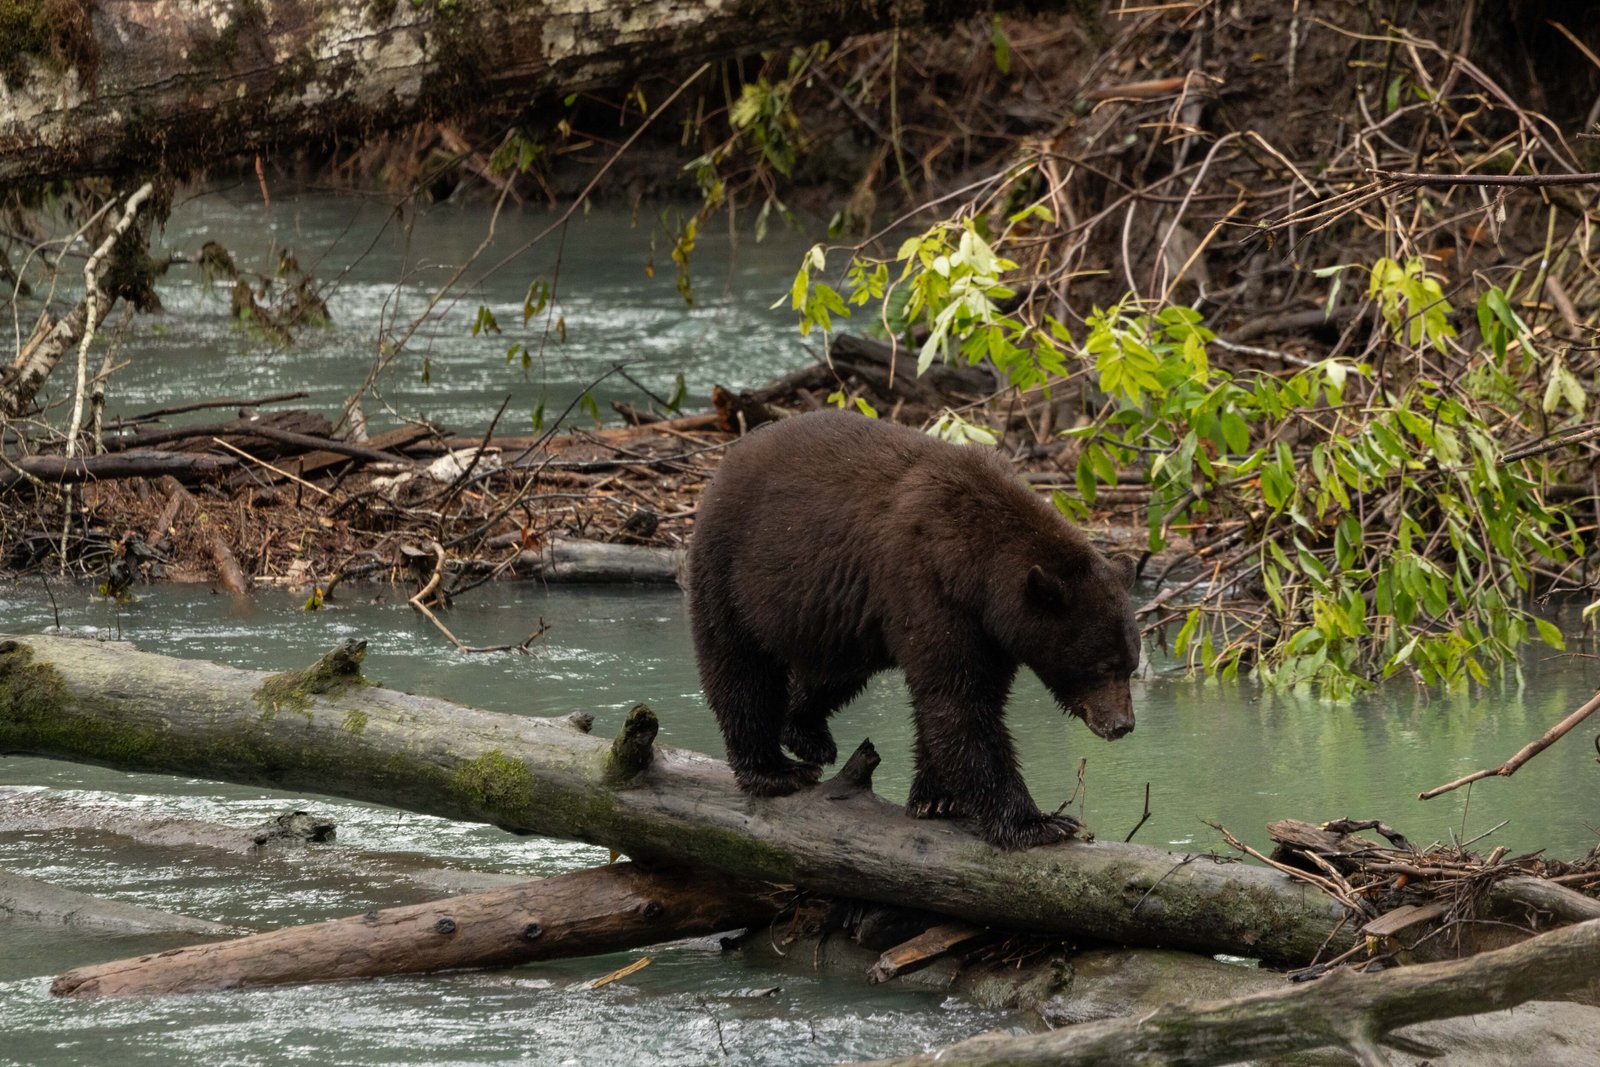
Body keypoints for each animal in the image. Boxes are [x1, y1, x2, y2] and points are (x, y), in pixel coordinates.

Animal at [684, 409, 1139, 851]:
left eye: (1131, 666)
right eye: (1103, 666)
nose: (1123, 725)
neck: (977, 567)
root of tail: (729, 458)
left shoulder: (988, 630)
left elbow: (967, 697)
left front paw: (936, 798)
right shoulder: (928, 588)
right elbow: (959, 702)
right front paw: (1039, 823)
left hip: (843, 615)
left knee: (835, 671)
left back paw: (807, 733)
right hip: (730, 567)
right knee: (740, 668)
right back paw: (773, 770)